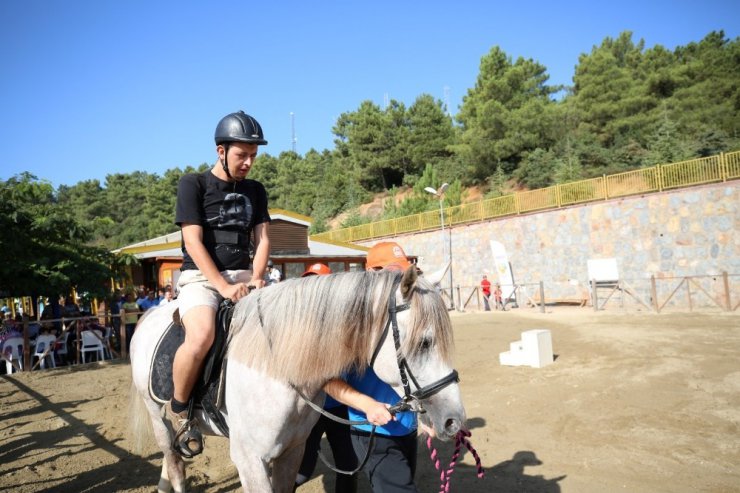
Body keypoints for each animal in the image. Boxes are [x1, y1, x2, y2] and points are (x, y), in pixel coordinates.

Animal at [130, 268, 466, 490]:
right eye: (424, 342)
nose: (454, 421)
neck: (276, 368)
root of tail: (149, 316)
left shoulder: (292, 451)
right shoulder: (249, 460)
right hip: (156, 413)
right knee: (173, 461)